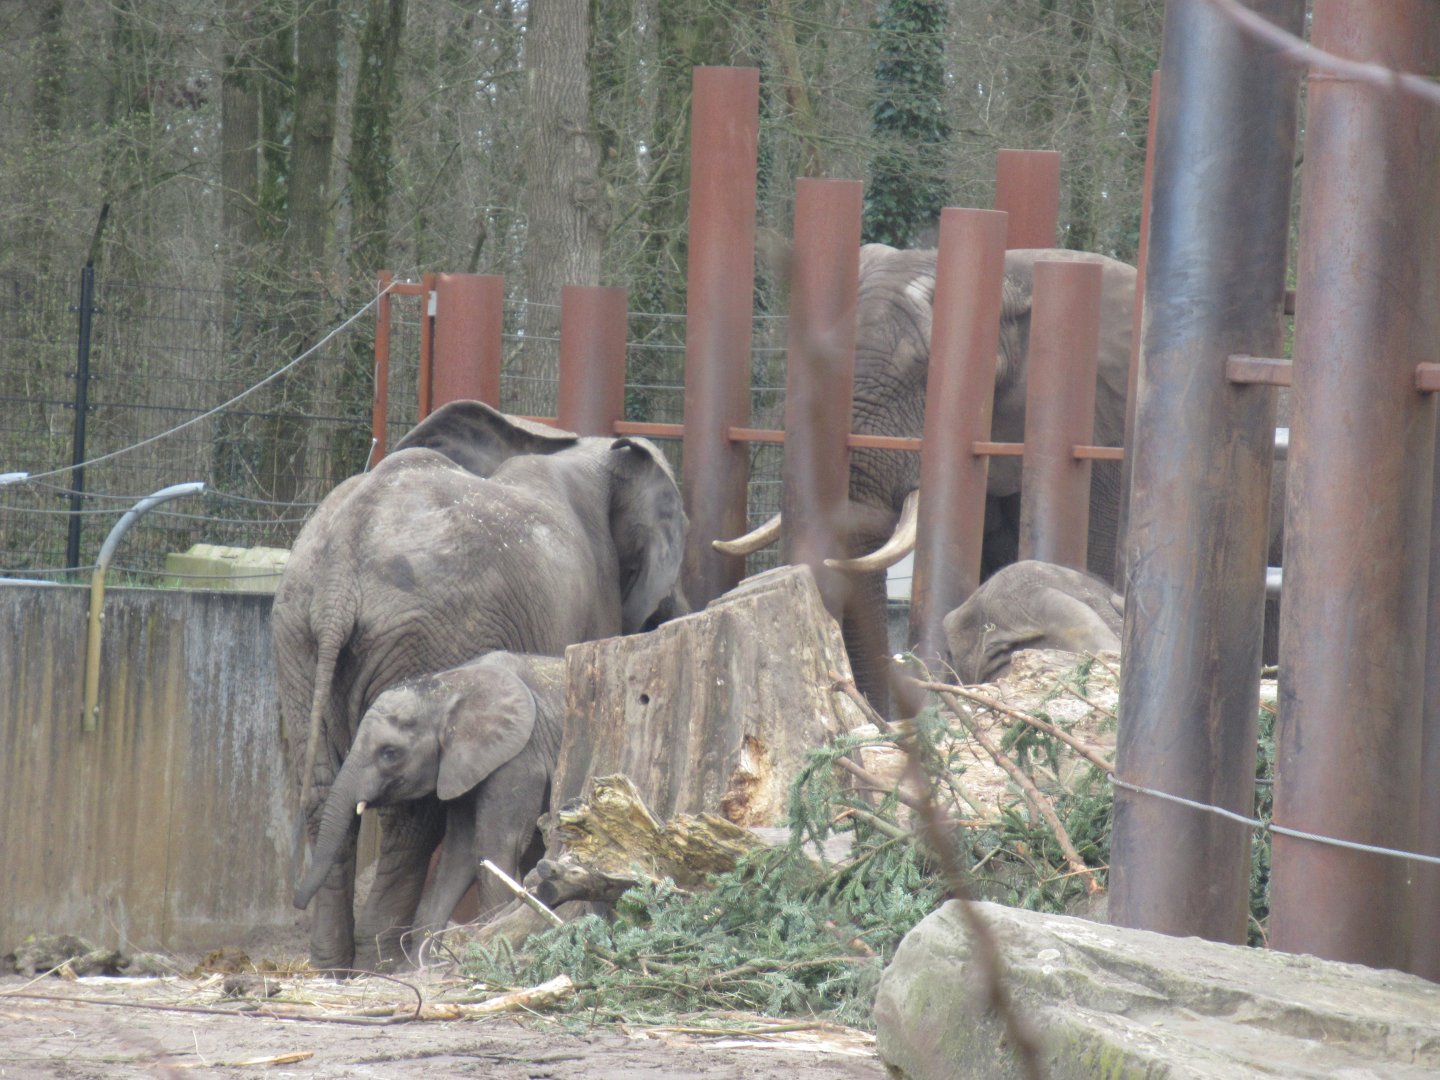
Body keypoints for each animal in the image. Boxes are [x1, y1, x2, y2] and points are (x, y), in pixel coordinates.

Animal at [294, 652, 565, 959]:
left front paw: (488, 941)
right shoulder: (461, 767)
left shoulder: (518, 757)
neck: (446, 689)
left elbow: (498, 845)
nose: (298, 904)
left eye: (390, 753)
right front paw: (419, 962)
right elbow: (460, 851)